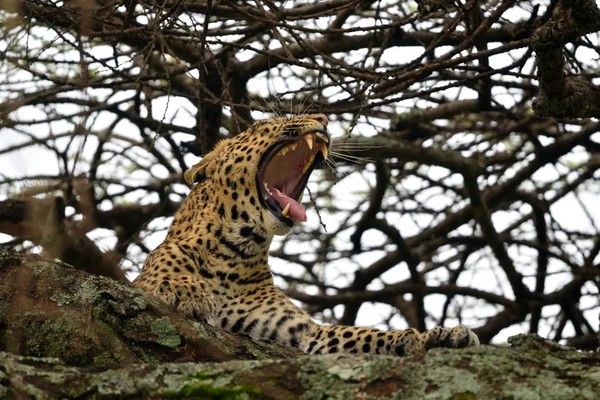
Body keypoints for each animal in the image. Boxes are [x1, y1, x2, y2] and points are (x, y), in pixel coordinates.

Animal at [134, 114, 480, 354]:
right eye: (264, 123)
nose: (324, 118)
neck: (235, 251)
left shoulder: (301, 333)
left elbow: (361, 335)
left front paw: (438, 337)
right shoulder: (147, 284)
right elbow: (162, 284)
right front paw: (186, 290)